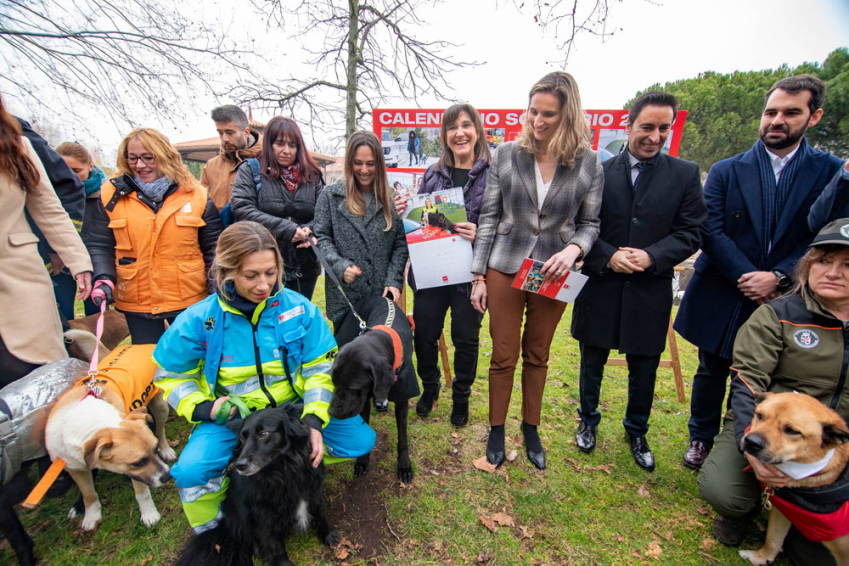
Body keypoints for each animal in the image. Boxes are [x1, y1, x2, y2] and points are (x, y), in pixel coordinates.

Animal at [45, 344, 176, 536]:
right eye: (138, 462)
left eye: (153, 450)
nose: (167, 476)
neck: (87, 420)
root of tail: (137, 345)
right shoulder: (74, 468)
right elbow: (88, 493)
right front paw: (91, 516)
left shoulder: (135, 474)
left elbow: (142, 493)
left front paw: (149, 515)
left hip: (160, 406)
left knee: (159, 430)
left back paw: (165, 450)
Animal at [175, 406, 338, 564]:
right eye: (242, 437)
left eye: (263, 434)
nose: (240, 466)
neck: (283, 471)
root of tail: (225, 527)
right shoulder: (263, 514)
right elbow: (275, 546)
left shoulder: (314, 492)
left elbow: (321, 515)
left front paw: (328, 536)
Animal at [736, 394, 848, 566]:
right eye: (759, 415)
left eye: (793, 431)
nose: (751, 441)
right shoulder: (783, 511)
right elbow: (773, 538)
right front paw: (760, 558)